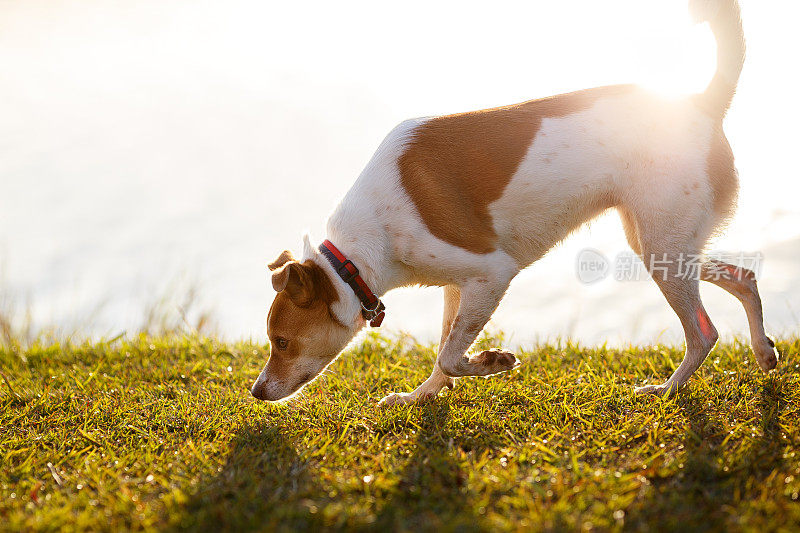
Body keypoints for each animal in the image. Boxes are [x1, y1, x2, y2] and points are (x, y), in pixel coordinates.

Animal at [250, 0, 776, 406]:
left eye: (281, 341)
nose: (255, 392)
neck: (357, 258)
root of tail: (700, 104)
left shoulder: (492, 272)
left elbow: (449, 355)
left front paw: (492, 361)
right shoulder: (459, 286)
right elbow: (444, 349)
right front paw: (420, 397)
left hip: (661, 245)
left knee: (704, 333)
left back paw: (667, 389)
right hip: (662, 242)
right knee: (742, 277)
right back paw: (764, 351)